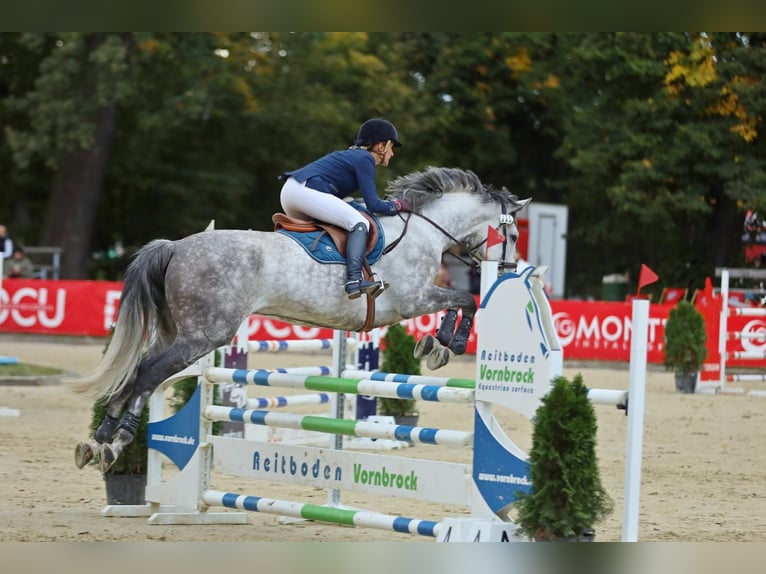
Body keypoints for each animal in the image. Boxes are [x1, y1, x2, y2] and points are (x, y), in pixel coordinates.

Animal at [72, 166, 532, 472]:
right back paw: (116, 441)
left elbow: (459, 301)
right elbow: (467, 298)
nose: (508, 271)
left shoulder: (418, 299)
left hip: (177, 332)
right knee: (148, 372)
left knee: (139, 370)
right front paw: (447, 345)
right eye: (511, 234)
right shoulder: (412, 299)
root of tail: (175, 246)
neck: (424, 229)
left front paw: (433, 344)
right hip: (203, 335)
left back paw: (100, 441)